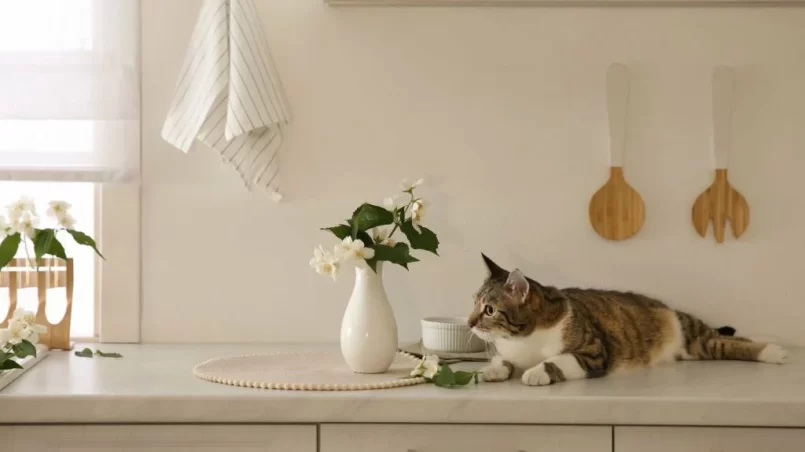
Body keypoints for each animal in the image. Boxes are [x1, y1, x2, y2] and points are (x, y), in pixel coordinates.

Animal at [468, 254, 788, 384]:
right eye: (473, 302)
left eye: (489, 310)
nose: (469, 322)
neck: (525, 340)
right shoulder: (511, 351)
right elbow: (503, 360)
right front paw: (492, 370)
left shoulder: (594, 353)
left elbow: (557, 361)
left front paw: (536, 372)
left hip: (694, 337)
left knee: (726, 341)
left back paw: (772, 349)